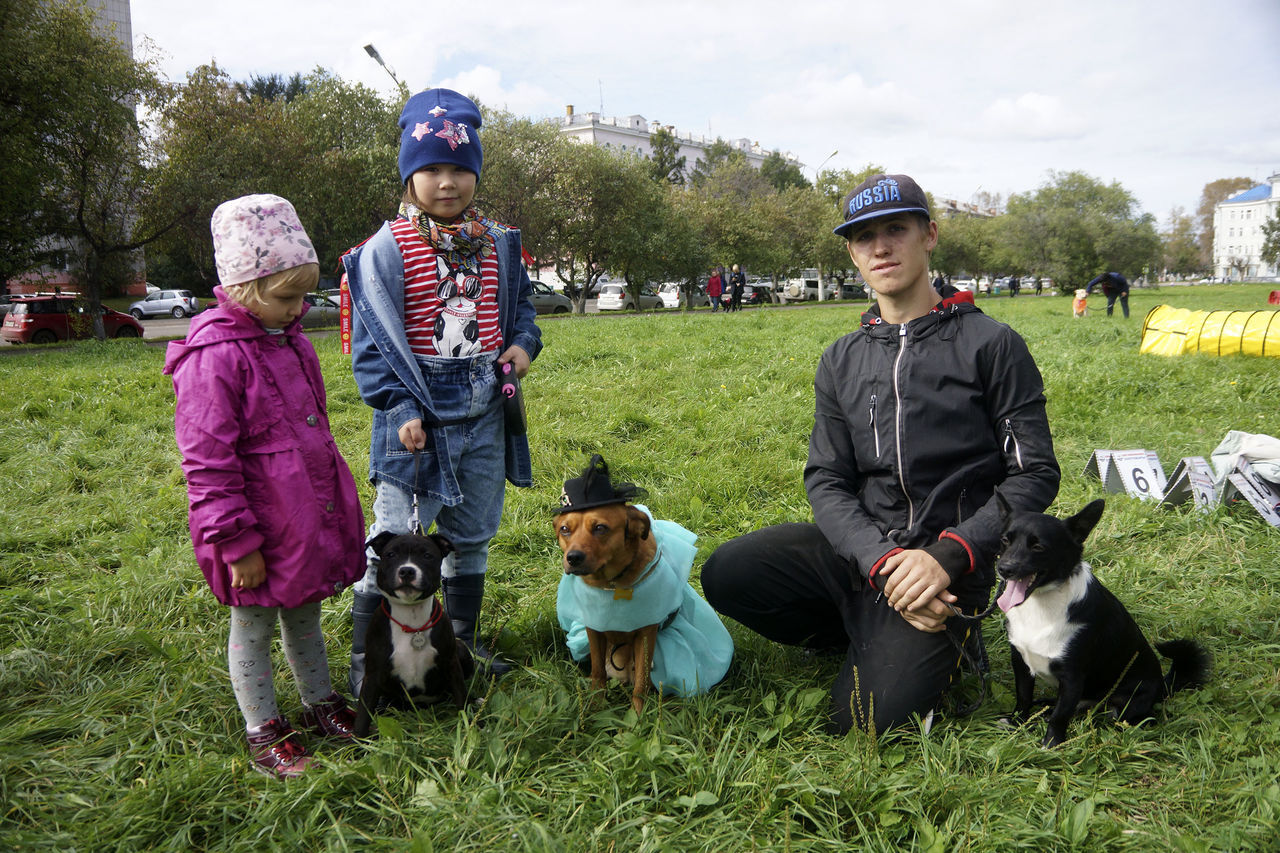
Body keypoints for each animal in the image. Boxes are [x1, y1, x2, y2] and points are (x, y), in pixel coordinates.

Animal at [353, 527, 473, 732]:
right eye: (390, 555)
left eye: (427, 555)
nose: (407, 570)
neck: (411, 616)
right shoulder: (373, 675)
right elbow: (363, 712)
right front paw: (357, 740)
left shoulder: (451, 664)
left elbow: (461, 697)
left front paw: (472, 727)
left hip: (461, 650)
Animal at [550, 499, 660, 712]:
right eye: (565, 529)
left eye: (600, 528)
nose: (573, 557)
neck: (610, 584)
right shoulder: (593, 630)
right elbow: (598, 669)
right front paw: (596, 702)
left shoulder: (646, 633)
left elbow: (641, 680)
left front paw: (638, 714)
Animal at [988, 491, 1208, 742]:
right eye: (1005, 540)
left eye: (1038, 547)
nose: (1004, 569)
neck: (1041, 604)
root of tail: (1163, 685)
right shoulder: (1021, 662)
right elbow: (1023, 698)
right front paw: (1017, 724)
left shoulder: (1072, 678)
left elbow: (1059, 717)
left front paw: (1051, 744)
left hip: (1124, 706)